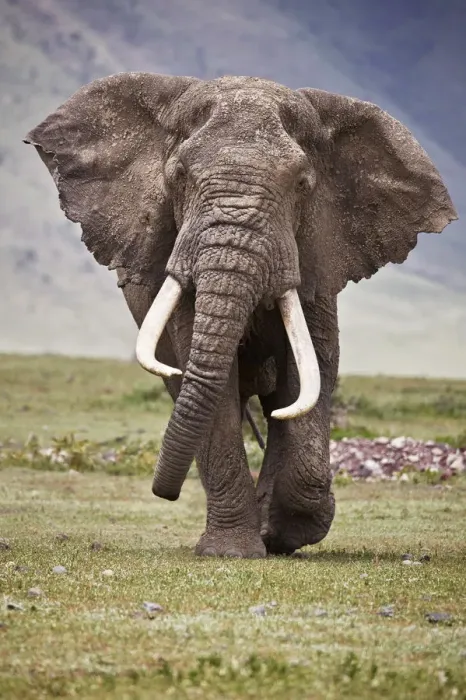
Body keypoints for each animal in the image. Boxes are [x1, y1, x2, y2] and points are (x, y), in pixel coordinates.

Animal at [25, 72, 457, 558]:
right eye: (178, 176)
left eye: (302, 184)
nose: (163, 492)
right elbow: (213, 377)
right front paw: (232, 551)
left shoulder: (318, 252)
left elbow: (312, 371)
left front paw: (287, 532)